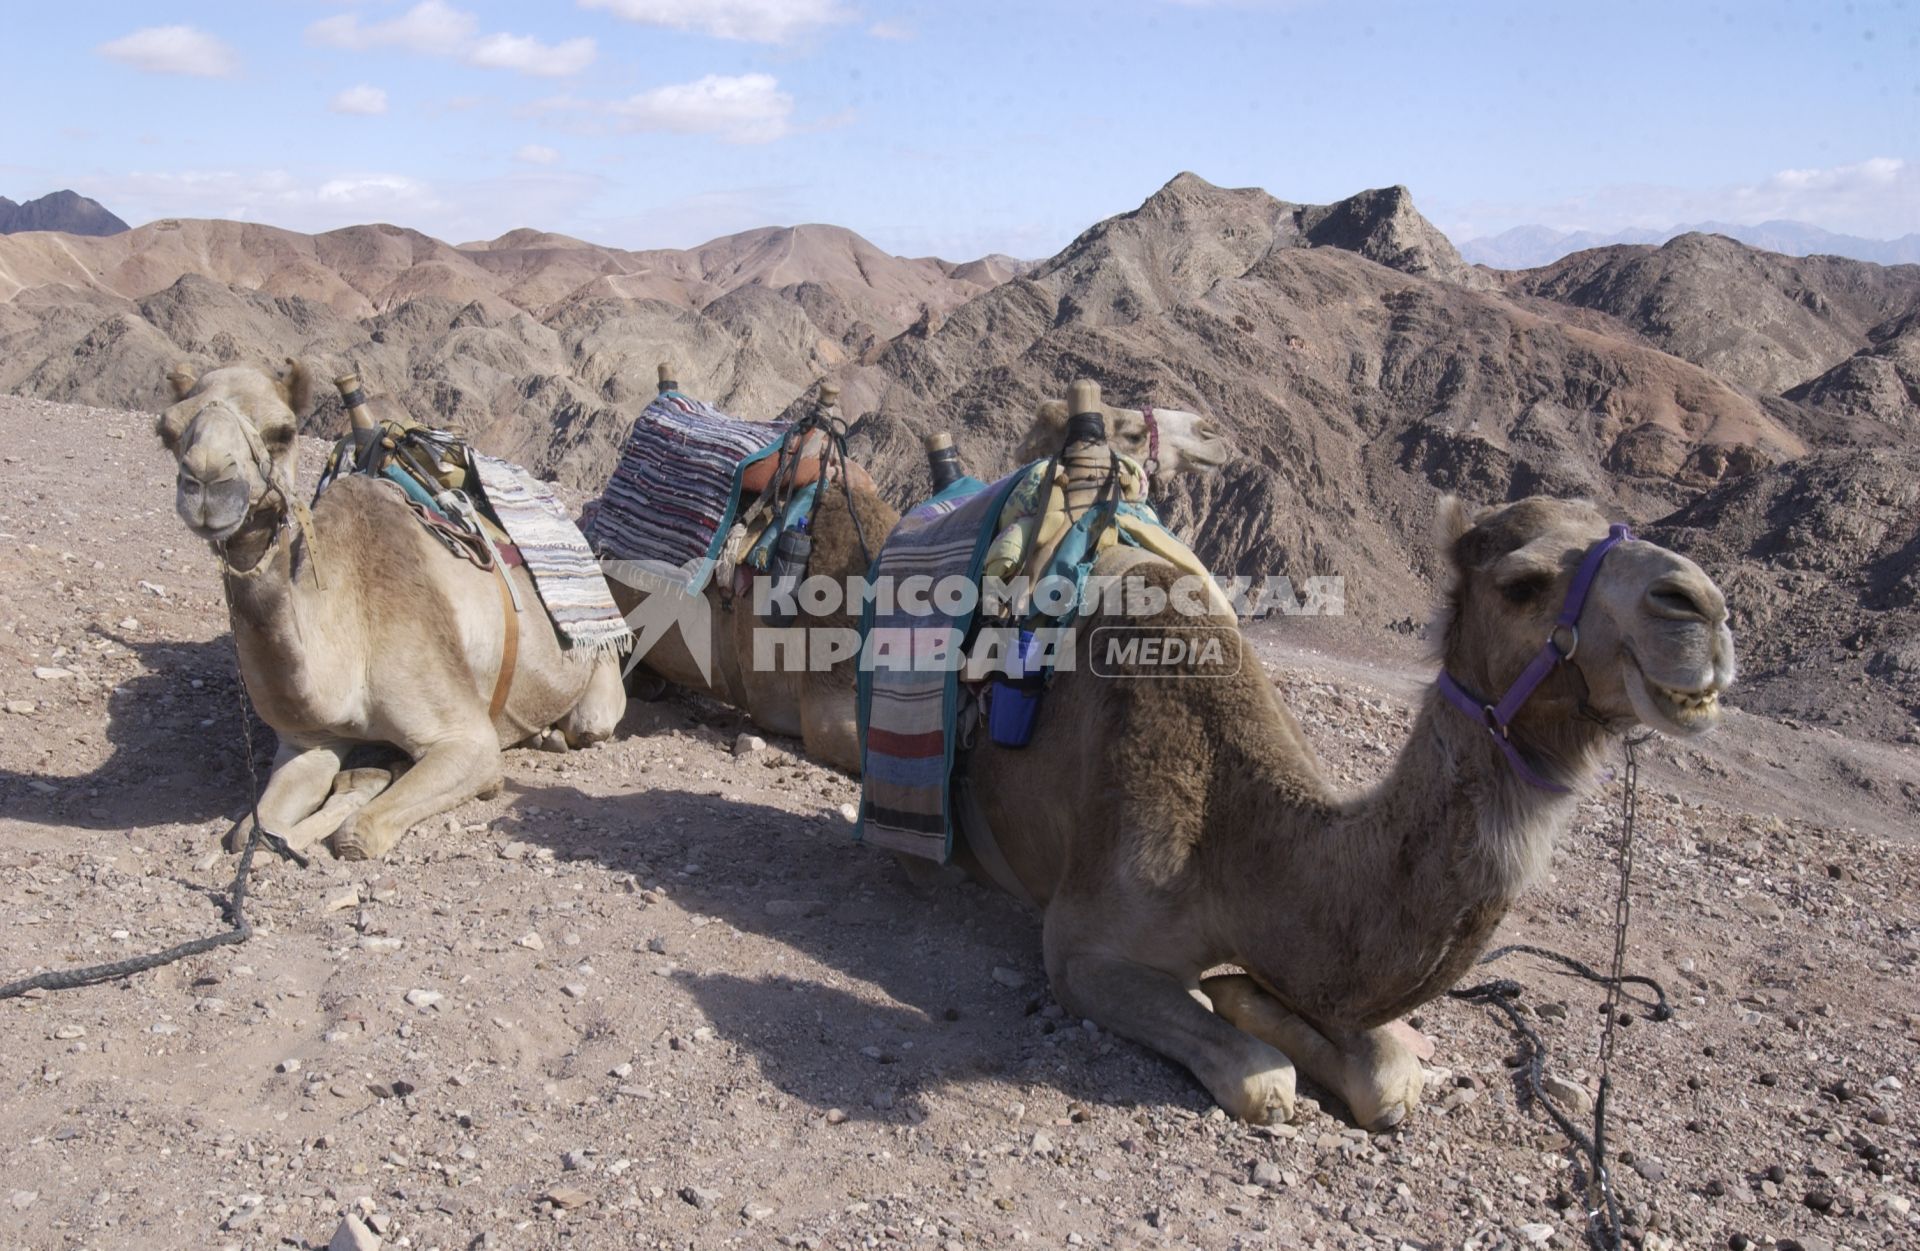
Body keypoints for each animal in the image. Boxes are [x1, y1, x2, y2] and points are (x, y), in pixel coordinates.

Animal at [158, 356, 625, 855]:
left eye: (282, 432)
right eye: (168, 431)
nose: (207, 483)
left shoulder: (467, 738)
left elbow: (357, 833)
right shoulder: (306, 742)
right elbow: (253, 830)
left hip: (598, 673)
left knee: (589, 722)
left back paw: (551, 735)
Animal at [960, 495, 1743, 1128]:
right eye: (1521, 584)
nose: (1700, 605)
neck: (1233, 830)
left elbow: (1391, 1077)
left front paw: (1243, 992)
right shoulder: (1080, 948)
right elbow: (1264, 1081)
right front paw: (1239, 1012)